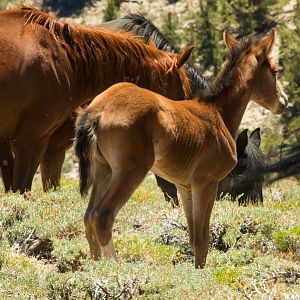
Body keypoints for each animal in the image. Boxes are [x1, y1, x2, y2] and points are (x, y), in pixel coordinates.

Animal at [74, 29, 288, 268]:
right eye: (274, 70)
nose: (284, 101)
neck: (217, 112)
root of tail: (97, 110)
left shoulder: (184, 187)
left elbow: (193, 237)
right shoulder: (206, 183)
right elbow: (203, 239)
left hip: (104, 169)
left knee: (88, 216)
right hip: (130, 171)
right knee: (102, 216)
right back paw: (114, 267)